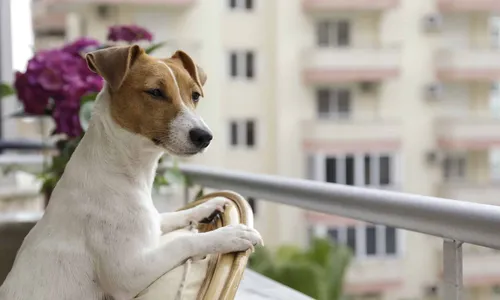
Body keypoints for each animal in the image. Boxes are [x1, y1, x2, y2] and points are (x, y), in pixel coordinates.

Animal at [0, 45, 264, 300]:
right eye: (155, 92)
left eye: (195, 95)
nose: (205, 136)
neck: (122, 170)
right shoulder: (129, 272)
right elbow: (184, 240)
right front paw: (231, 235)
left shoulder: (153, 223)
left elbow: (174, 215)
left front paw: (209, 206)